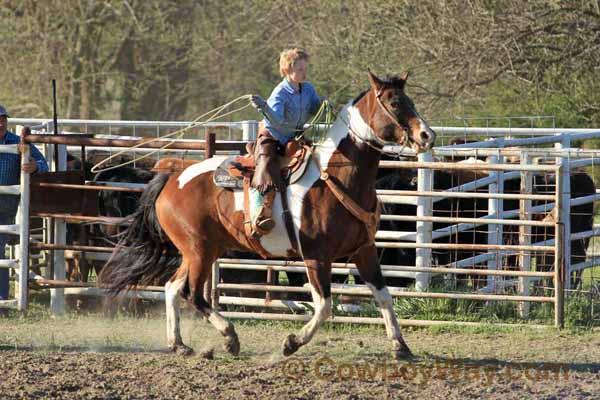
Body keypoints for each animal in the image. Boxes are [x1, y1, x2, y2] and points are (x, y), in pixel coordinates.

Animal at [98, 71, 436, 360]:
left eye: (410, 100)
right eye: (395, 102)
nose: (427, 135)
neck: (336, 179)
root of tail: (172, 178)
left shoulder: (363, 250)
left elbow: (384, 296)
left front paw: (401, 347)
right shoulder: (316, 257)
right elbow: (324, 306)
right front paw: (292, 343)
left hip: (201, 250)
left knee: (172, 288)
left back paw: (179, 344)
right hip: (198, 249)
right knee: (193, 294)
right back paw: (229, 337)